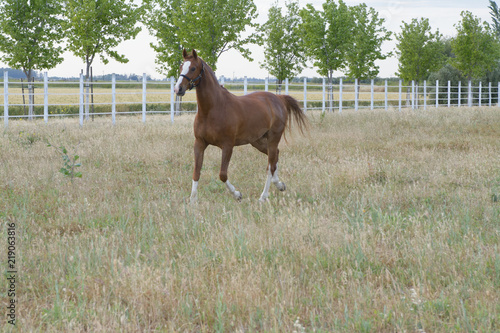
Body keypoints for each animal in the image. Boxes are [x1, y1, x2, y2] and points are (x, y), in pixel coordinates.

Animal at [176, 47, 308, 201]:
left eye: (193, 68)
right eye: (181, 67)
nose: (178, 89)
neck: (212, 109)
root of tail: (279, 98)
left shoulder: (227, 146)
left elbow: (222, 174)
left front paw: (237, 194)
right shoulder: (199, 143)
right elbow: (196, 172)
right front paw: (193, 200)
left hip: (273, 138)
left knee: (270, 164)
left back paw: (263, 196)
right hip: (257, 141)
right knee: (275, 157)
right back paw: (279, 184)